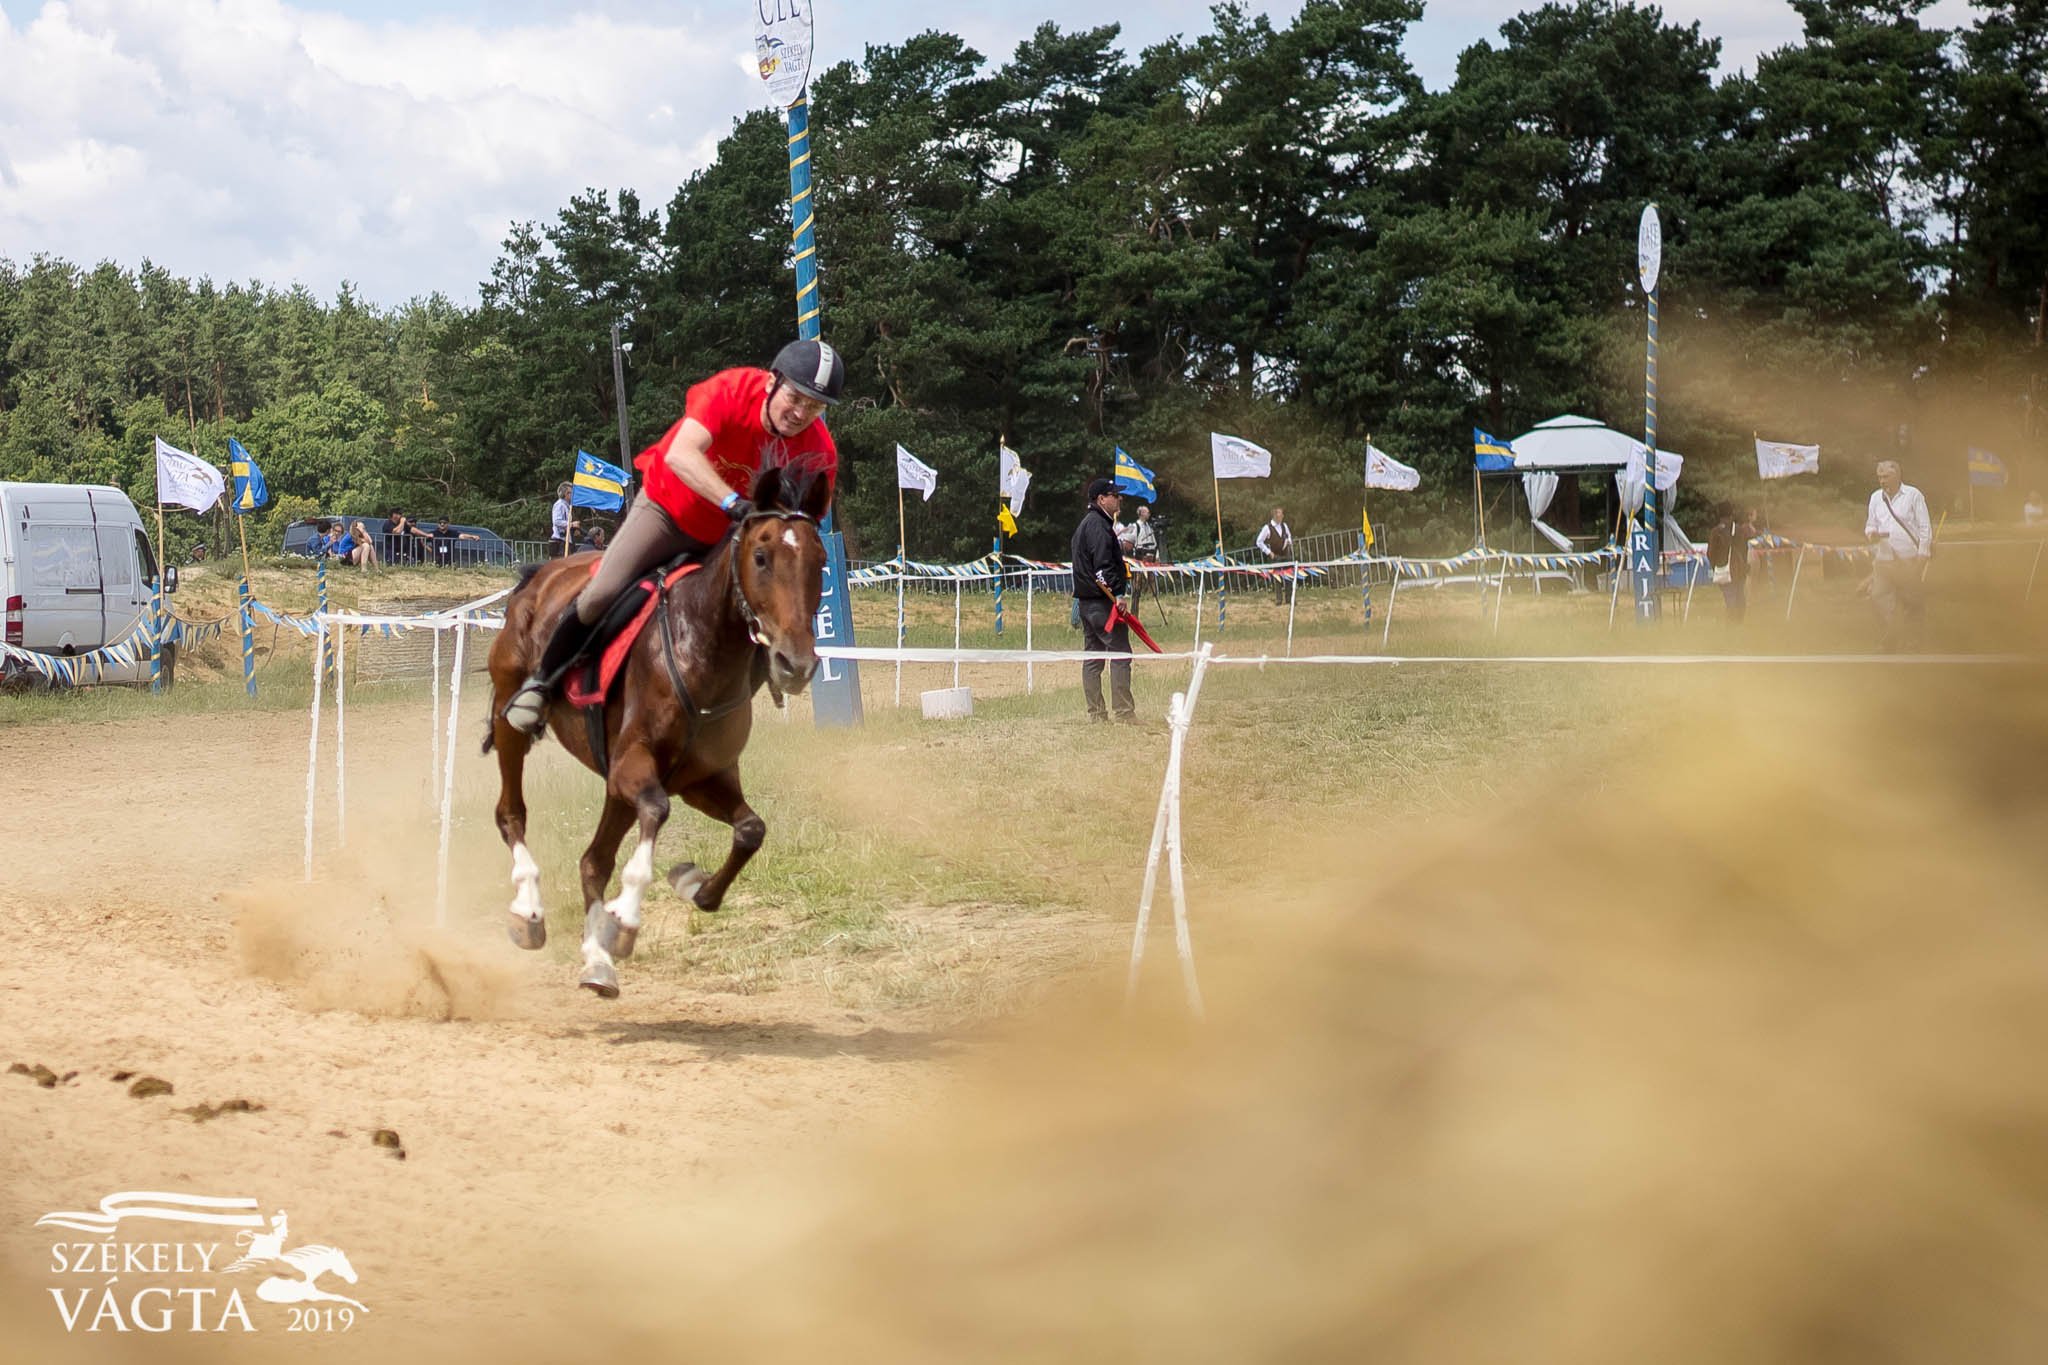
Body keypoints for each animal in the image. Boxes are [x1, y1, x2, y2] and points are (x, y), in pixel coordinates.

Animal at [483, 466, 827, 994]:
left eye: (822, 562)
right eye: (762, 557)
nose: (796, 663)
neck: (701, 649)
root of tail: (537, 575)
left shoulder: (701, 779)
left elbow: (751, 830)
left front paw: (691, 883)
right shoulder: (635, 765)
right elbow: (658, 812)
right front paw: (625, 917)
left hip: (615, 783)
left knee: (593, 860)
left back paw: (596, 957)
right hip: (510, 722)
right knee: (512, 813)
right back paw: (530, 909)